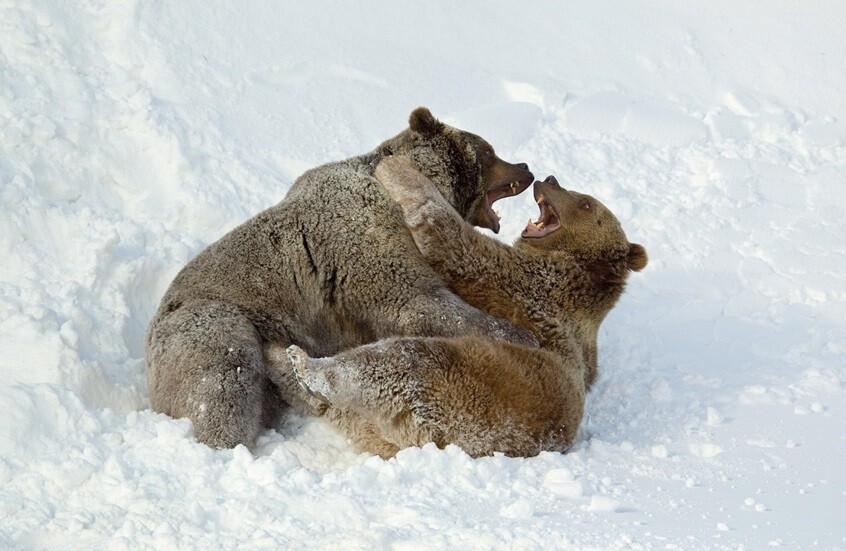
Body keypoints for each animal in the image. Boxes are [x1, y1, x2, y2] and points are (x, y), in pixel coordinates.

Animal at [142, 110, 532, 450]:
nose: (526, 168)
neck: (401, 189)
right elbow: (422, 303)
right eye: (489, 151)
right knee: (223, 381)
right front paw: (519, 334)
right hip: (212, 320)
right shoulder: (366, 245)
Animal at [274, 157, 648, 460]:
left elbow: (451, 239)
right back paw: (280, 361)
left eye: (585, 203)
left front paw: (395, 166)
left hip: (470, 389)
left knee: (395, 362)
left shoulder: (529, 283)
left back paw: (306, 365)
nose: (550, 179)